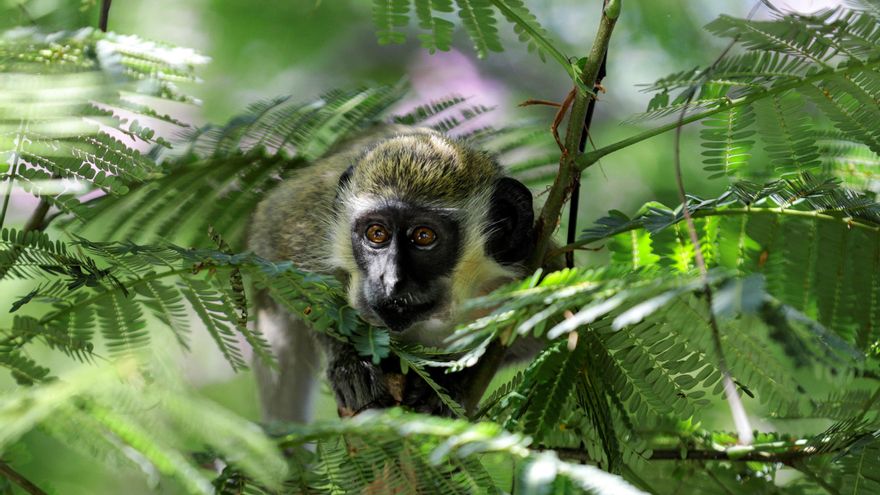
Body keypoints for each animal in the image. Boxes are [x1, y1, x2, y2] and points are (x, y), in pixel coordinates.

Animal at [249, 125, 536, 422]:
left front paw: (444, 382)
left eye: (424, 236)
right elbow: (274, 244)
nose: (391, 280)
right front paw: (349, 362)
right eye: (377, 233)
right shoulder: (307, 228)